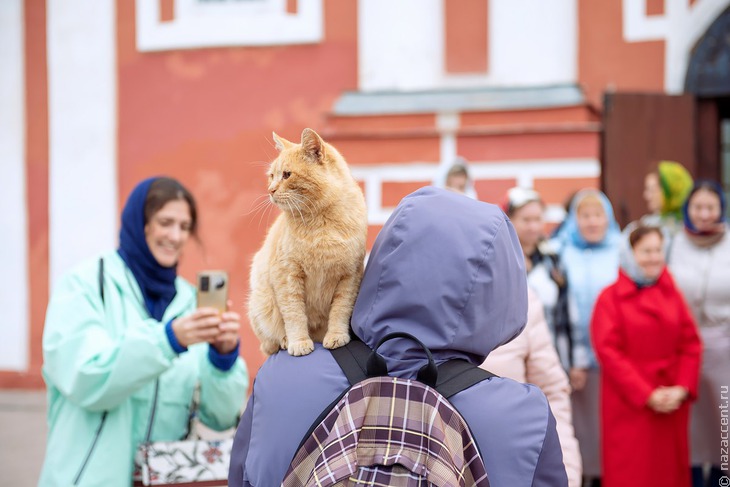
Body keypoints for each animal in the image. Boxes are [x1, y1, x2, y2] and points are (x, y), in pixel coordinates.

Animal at [247, 129, 366, 358]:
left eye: (287, 174)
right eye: (271, 176)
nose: (270, 190)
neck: (321, 221)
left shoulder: (350, 276)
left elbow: (340, 310)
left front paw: (336, 336)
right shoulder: (287, 275)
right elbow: (294, 314)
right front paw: (299, 342)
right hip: (261, 301)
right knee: (269, 343)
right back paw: (284, 341)